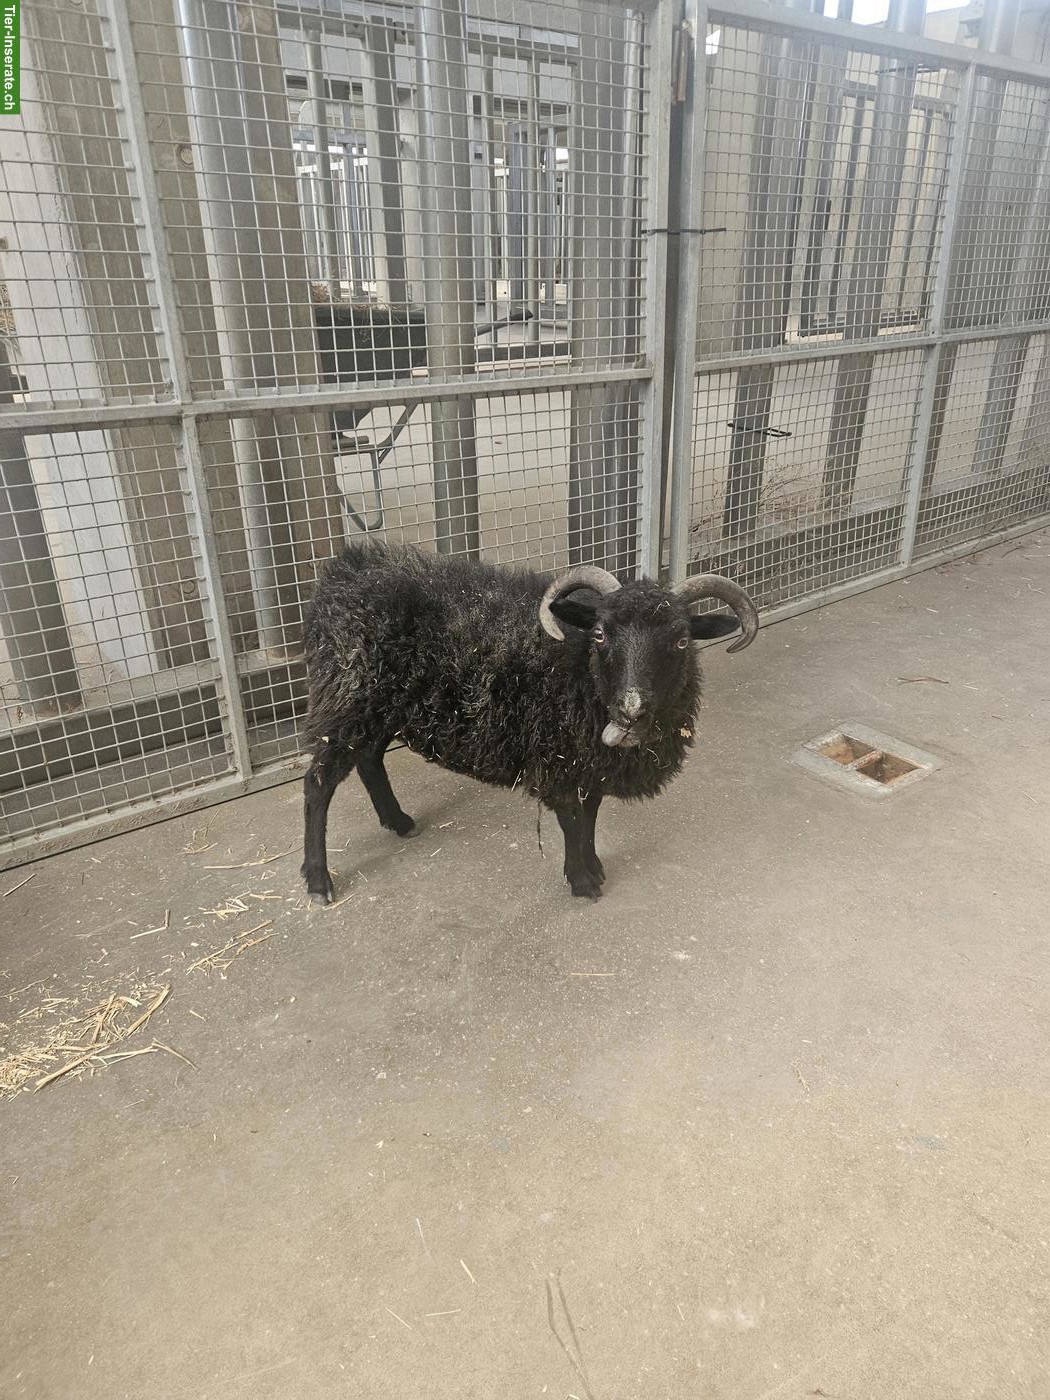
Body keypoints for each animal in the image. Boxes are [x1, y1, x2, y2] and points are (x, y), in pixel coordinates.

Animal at [300, 542, 758, 903]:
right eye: (600, 634)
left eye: (681, 640)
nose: (631, 711)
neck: (579, 670)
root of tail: (345, 574)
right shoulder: (558, 761)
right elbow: (572, 819)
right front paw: (582, 881)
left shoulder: (589, 763)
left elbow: (591, 814)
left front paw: (593, 864)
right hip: (348, 700)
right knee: (319, 784)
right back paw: (318, 880)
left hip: (377, 708)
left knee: (369, 760)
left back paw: (399, 822)